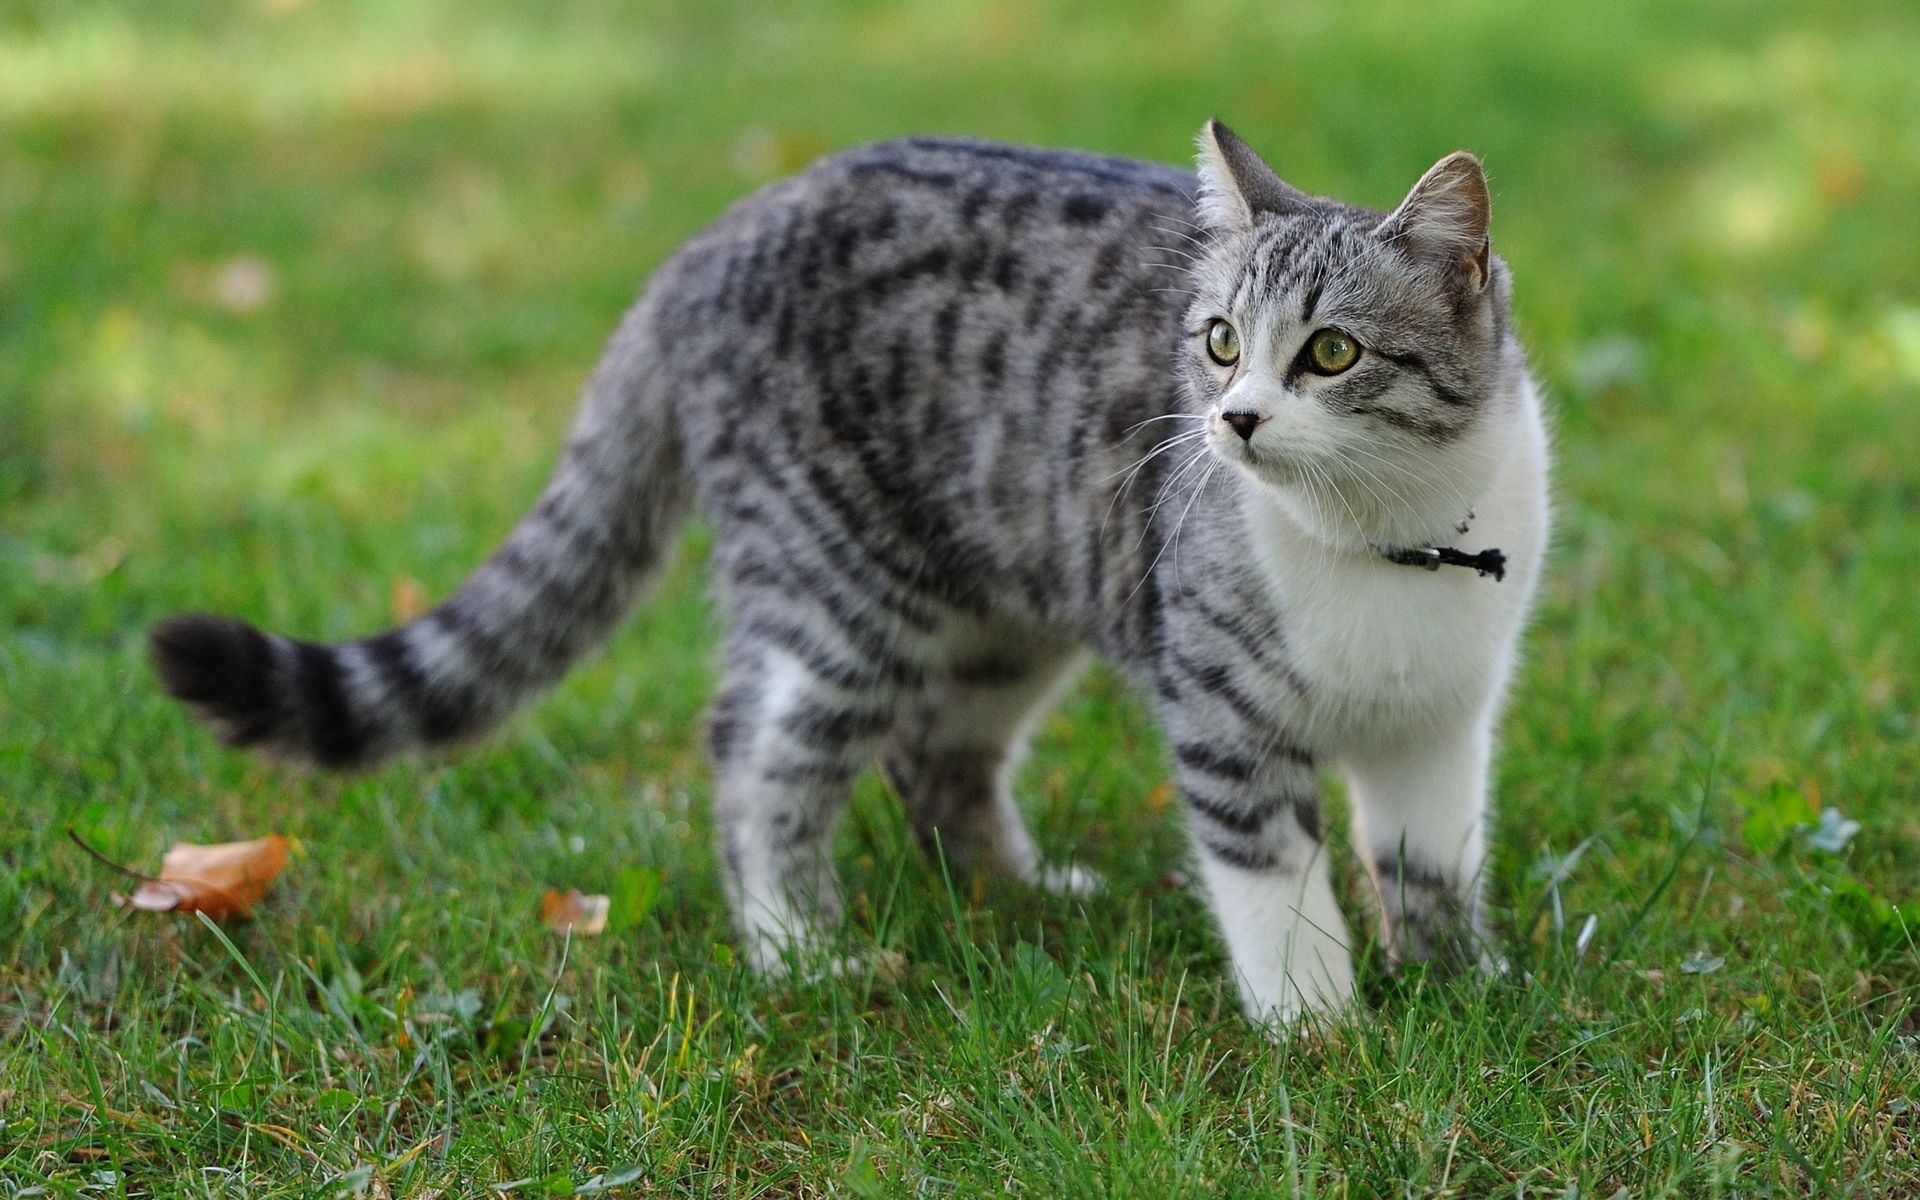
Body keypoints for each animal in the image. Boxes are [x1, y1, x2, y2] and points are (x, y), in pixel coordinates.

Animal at [157, 119, 1551, 1021]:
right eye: (1216, 343)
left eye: (1329, 353)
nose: (1235, 421)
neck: (1385, 540)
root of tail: (720, 230)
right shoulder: (1221, 712)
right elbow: (1273, 878)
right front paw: (1319, 1025)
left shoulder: (1444, 721)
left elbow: (1429, 861)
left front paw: (1460, 989)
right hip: (835, 585)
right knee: (757, 747)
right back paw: (796, 953)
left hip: (994, 607)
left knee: (935, 752)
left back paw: (1018, 893)